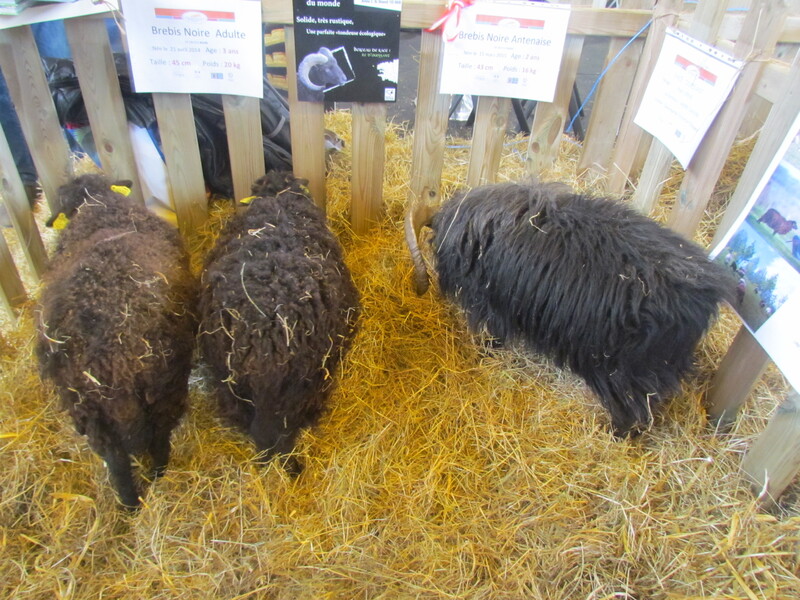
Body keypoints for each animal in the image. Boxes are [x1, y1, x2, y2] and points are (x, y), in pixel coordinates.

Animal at [410, 180, 736, 434]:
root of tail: (708, 293)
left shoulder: (490, 305)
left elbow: (493, 337)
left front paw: (486, 353)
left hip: (628, 374)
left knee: (635, 413)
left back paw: (617, 434)